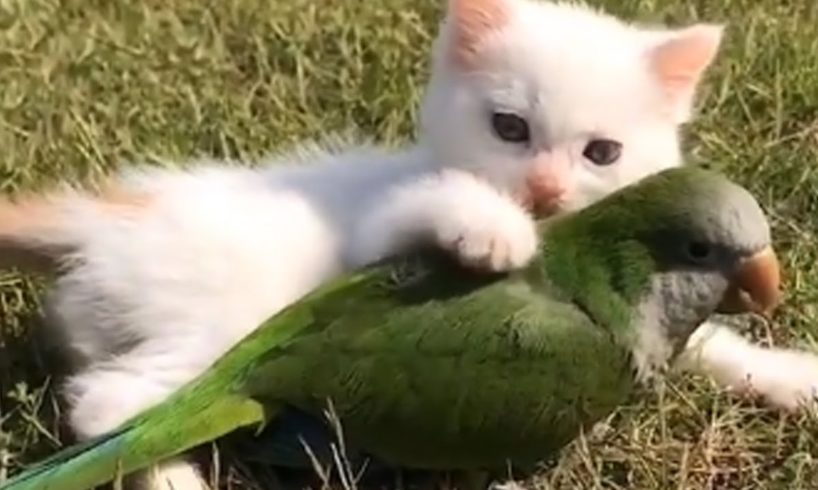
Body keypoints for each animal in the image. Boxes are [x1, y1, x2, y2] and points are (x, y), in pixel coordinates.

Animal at [0, 0, 728, 488]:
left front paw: (757, 369)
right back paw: (175, 476)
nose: (544, 190)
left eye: (601, 152)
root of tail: (106, 218)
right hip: (221, 322)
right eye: (509, 127)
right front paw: (496, 233)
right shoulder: (378, 231)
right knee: (115, 405)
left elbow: (696, 337)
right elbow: (436, 210)